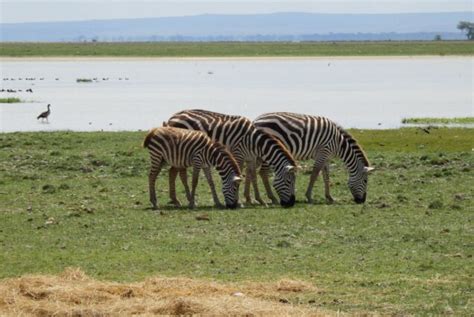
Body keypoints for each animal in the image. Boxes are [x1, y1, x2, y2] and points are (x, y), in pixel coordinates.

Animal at [164, 109, 296, 207]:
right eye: (289, 181)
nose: (291, 203)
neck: (253, 141)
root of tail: (173, 116)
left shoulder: (251, 158)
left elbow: (253, 176)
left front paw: (259, 200)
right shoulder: (238, 155)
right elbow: (239, 176)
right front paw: (241, 201)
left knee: (173, 172)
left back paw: (176, 200)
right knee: (175, 172)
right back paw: (179, 200)